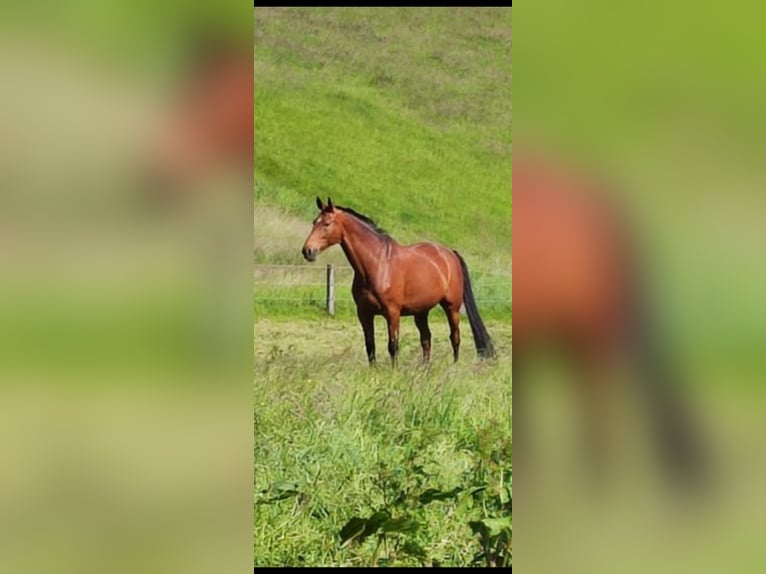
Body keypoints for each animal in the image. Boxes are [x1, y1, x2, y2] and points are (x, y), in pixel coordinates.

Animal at [300, 200, 498, 366]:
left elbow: (393, 346)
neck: (378, 264)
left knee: (454, 337)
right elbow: (370, 346)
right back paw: (424, 370)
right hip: (421, 312)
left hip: (452, 307)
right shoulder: (364, 313)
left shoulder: (392, 313)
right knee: (426, 339)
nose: (307, 251)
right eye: (314, 222)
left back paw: (453, 367)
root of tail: (449, 253)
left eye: (326, 224)